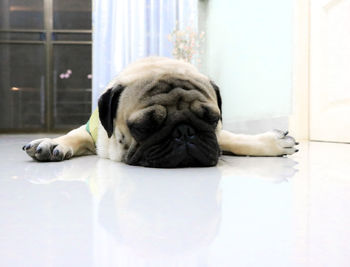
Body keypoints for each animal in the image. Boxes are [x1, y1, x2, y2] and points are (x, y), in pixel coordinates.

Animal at [22, 57, 298, 168]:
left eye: (211, 119)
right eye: (144, 126)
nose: (184, 132)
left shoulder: (218, 135)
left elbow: (233, 139)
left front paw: (272, 143)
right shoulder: (93, 131)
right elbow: (73, 135)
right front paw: (51, 143)